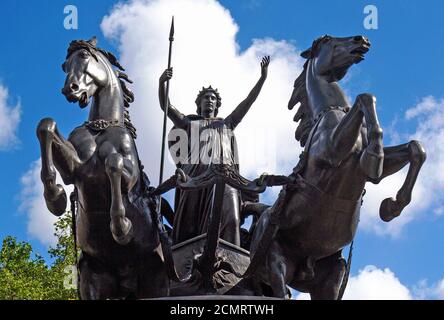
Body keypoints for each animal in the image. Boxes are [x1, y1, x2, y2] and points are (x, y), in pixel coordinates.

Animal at [36, 37, 168, 300]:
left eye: (84, 56)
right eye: (64, 65)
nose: (70, 89)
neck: (101, 126)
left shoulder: (130, 177)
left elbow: (113, 163)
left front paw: (121, 226)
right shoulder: (75, 171)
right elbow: (46, 125)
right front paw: (55, 197)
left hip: (156, 282)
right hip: (93, 279)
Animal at [250, 35, 426, 300]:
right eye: (327, 40)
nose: (361, 39)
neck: (332, 112)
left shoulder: (363, 167)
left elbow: (416, 149)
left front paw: (391, 206)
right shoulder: (332, 151)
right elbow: (365, 97)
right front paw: (374, 156)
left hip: (331, 276)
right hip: (276, 262)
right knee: (280, 289)